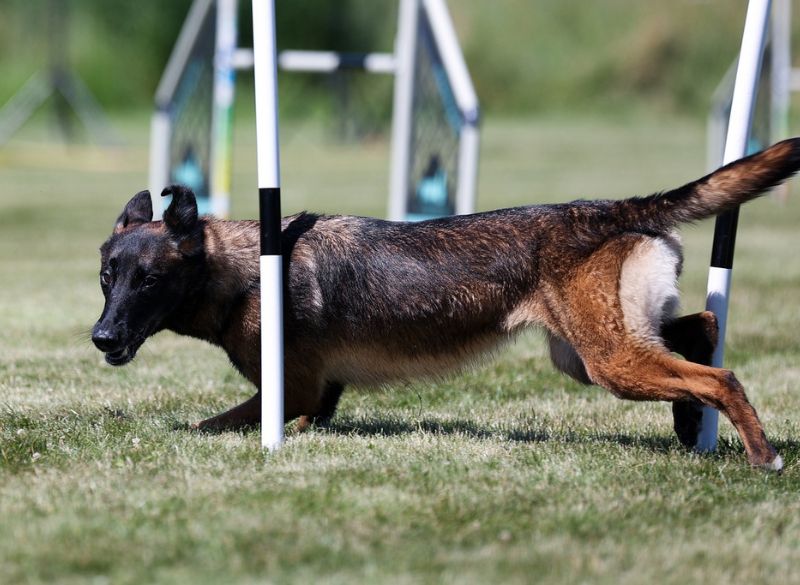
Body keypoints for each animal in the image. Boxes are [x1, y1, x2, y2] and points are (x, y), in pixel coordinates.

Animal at [90, 138, 800, 470]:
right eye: (106, 277)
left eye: (148, 280)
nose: (101, 338)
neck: (241, 271)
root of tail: (616, 207)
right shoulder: (315, 401)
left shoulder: (289, 398)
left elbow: (202, 425)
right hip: (590, 352)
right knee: (703, 329)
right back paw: (690, 426)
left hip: (608, 360)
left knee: (720, 374)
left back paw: (760, 454)